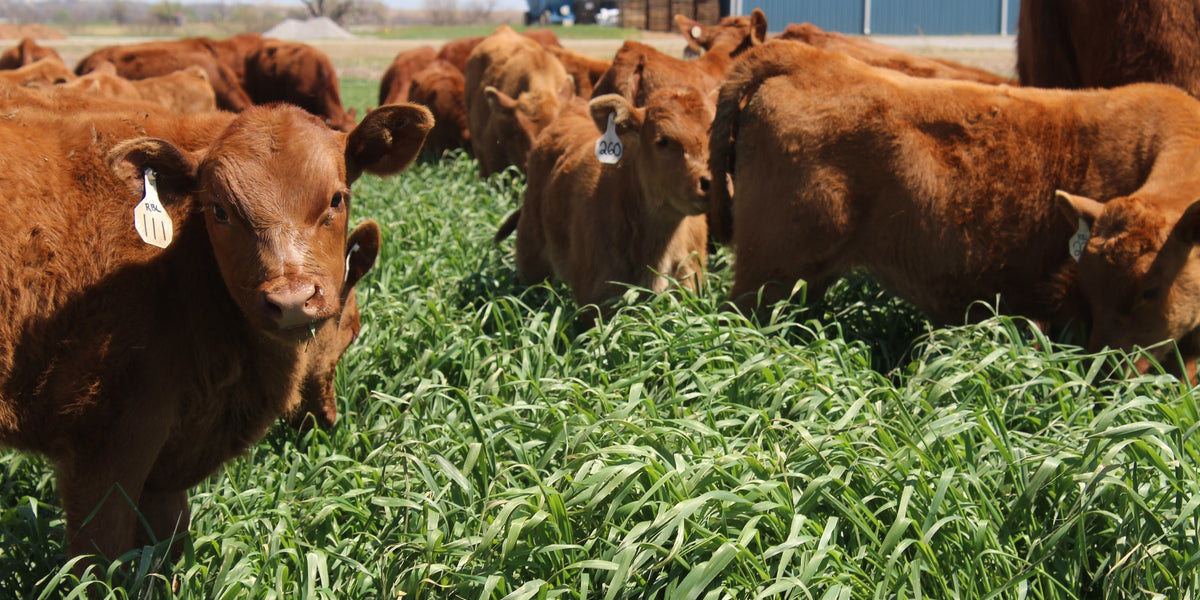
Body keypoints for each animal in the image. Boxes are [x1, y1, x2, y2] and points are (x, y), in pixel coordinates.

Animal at [0, 101, 432, 564]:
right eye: (220, 210)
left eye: (336, 198)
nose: (292, 300)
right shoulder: (102, 448)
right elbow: (102, 559)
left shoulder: (163, 473)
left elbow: (163, 551)